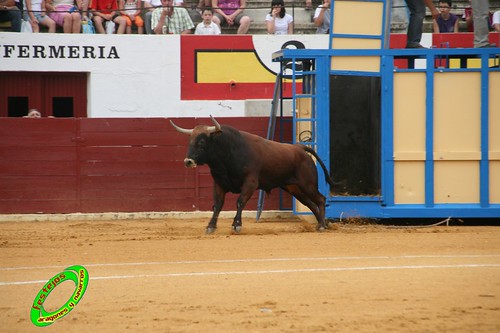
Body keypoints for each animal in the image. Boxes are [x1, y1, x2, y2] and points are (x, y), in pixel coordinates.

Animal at [170, 116, 334, 233]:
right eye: (190, 141)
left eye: (202, 142)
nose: (188, 161)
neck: (228, 153)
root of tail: (300, 148)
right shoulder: (219, 183)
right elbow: (217, 204)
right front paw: (211, 226)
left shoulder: (250, 182)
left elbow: (240, 201)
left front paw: (236, 224)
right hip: (294, 188)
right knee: (311, 204)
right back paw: (322, 224)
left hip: (308, 185)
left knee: (320, 199)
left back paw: (322, 225)